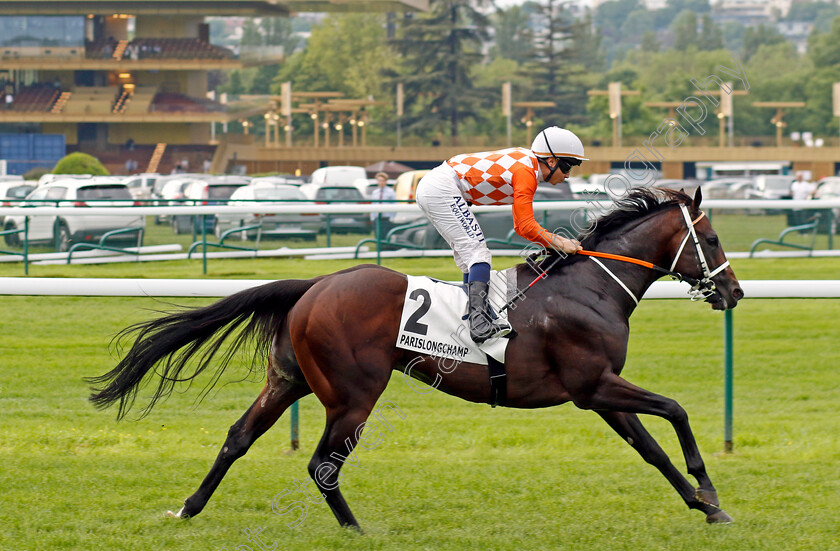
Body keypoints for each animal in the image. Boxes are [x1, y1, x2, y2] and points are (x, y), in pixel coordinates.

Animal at [87, 187, 740, 532]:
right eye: (710, 240)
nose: (733, 292)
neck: (591, 286)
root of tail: (315, 284)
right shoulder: (595, 385)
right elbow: (676, 411)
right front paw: (710, 491)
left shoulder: (599, 391)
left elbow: (652, 449)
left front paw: (703, 506)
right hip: (353, 394)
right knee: (321, 464)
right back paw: (354, 528)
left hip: (290, 381)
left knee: (237, 438)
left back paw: (189, 508)